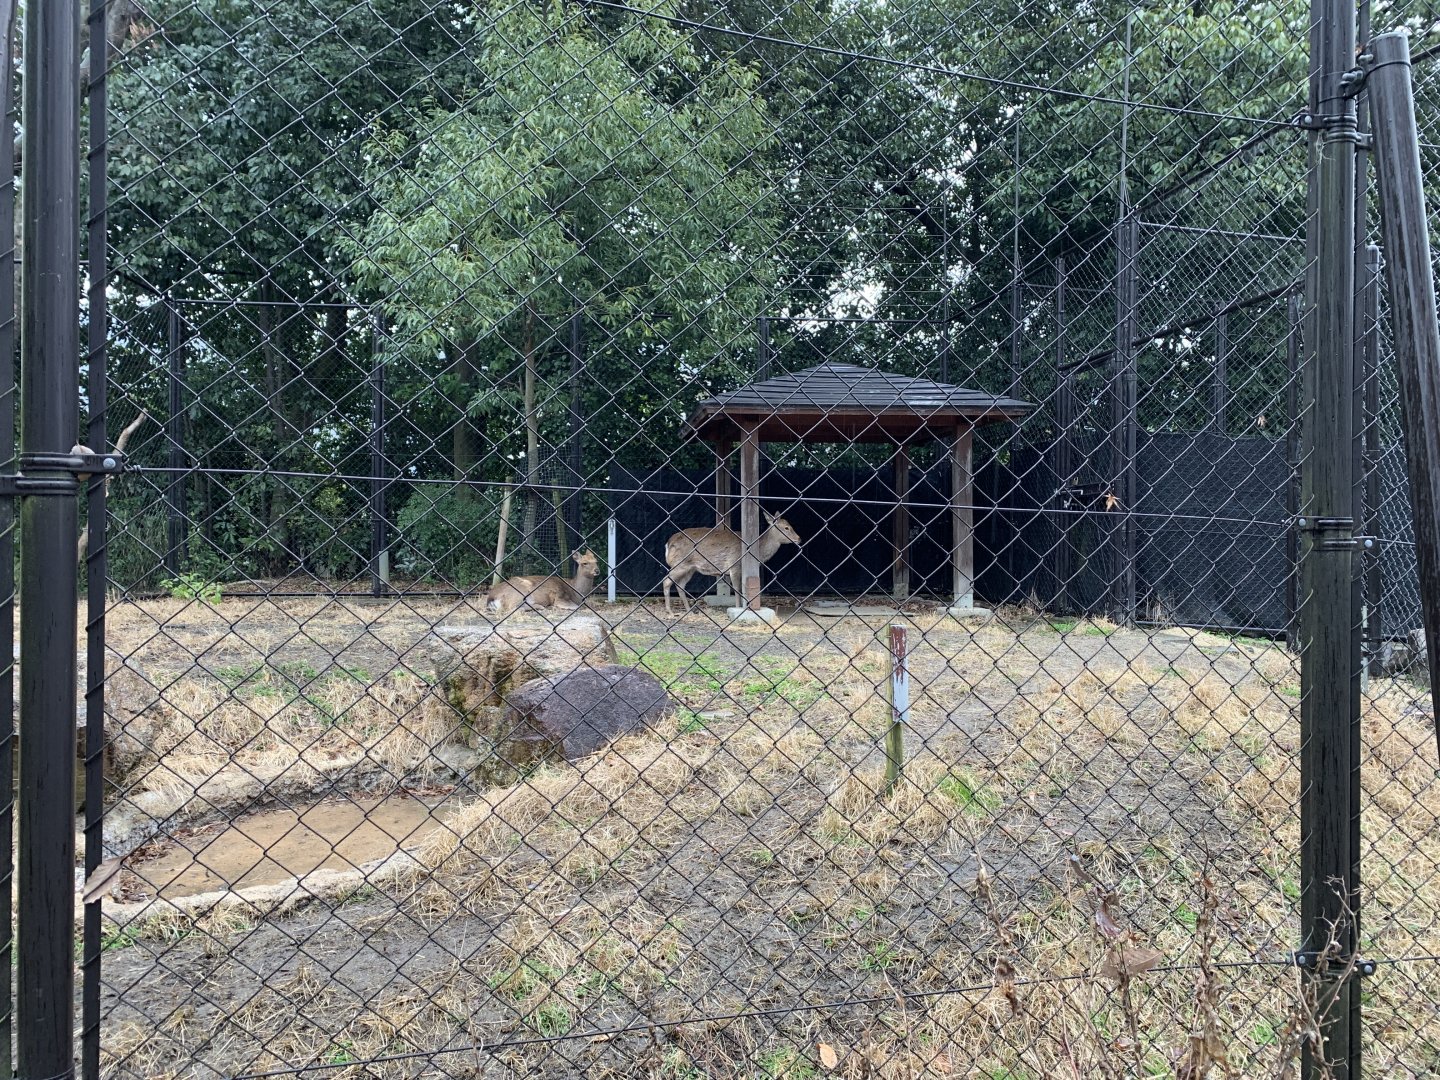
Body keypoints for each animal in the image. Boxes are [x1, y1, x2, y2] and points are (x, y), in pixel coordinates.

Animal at [662, 512, 801, 615]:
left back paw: (689, 611)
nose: (799, 539)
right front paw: (739, 609)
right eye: (786, 528)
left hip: (690, 568)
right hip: (680, 563)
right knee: (666, 581)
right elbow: (737, 590)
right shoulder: (734, 566)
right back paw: (670, 612)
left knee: (680, 585)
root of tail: (668, 544)